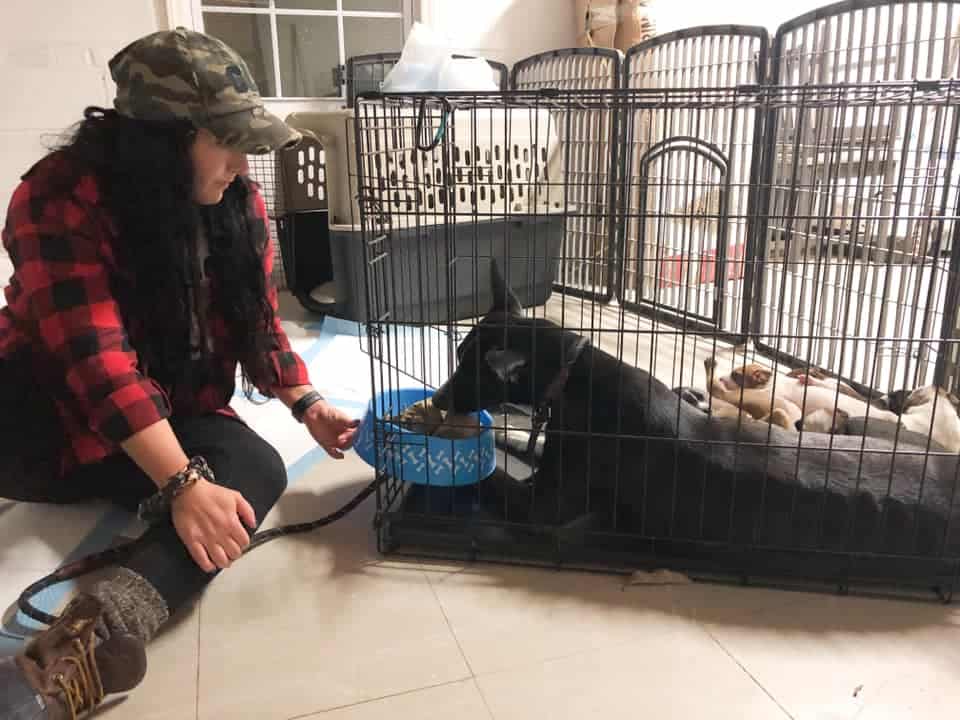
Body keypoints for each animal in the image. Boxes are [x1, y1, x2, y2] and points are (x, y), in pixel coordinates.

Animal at [434, 264, 960, 556]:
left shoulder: (541, 508)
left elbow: (491, 476)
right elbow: (525, 441)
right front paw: (505, 435)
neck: (573, 372)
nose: (437, 401)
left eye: (466, 368)